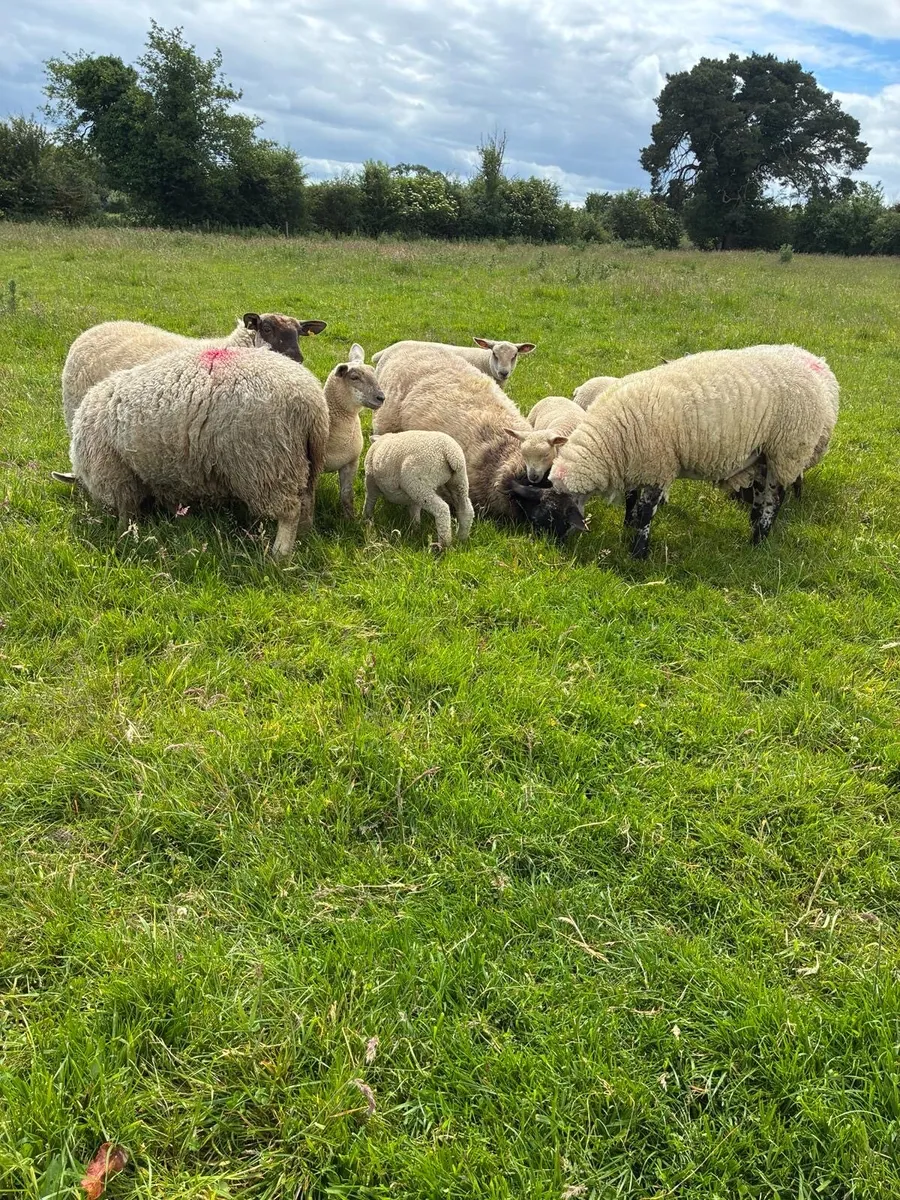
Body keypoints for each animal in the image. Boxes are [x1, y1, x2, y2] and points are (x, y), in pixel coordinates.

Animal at [53, 345, 329, 559]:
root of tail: (312, 403)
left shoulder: (115, 471)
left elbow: (127, 509)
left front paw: (123, 534)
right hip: (304, 461)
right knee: (306, 502)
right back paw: (303, 538)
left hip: (266, 462)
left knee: (289, 512)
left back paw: (280, 553)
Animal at [549, 344, 839, 559]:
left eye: (553, 509)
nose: (552, 545)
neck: (610, 436)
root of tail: (812, 367)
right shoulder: (636, 464)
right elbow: (632, 501)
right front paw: (627, 527)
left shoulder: (658, 467)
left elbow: (645, 512)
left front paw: (638, 552)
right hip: (763, 456)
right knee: (761, 492)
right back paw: (754, 525)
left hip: (787, 450)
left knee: (775, 498)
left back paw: (759, 538)